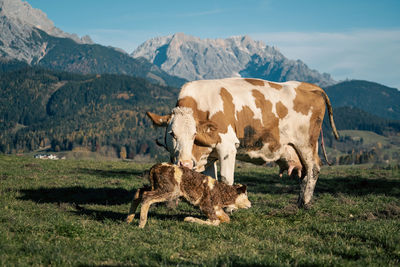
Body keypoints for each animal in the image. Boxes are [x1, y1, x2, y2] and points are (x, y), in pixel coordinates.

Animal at [147, 77, 338, 207]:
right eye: (172, 133)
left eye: (194, 134)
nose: (185, 163)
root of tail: (309, 86)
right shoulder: (209, 154)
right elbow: (210, 179)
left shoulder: (227, 147)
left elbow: (226, 179)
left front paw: (228, 206)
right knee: (305, 172)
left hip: (306, 144)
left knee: (313, 168)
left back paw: (304, 202)